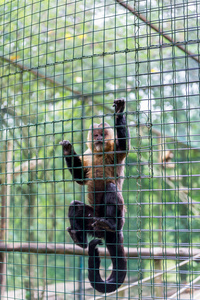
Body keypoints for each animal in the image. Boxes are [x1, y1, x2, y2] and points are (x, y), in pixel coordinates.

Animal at [59, 98, 130, 292]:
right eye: (96, 134)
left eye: (102, 134)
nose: (98, 138)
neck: (99, 153)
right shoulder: (88, 154)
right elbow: (81, 178)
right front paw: (67, 150)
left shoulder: (114, 151)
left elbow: (123, 147)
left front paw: (119, 112)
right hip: (92, 221)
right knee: (76, 207)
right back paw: (79, 239)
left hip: (118, 219)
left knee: (111, 189)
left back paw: (110, 224)